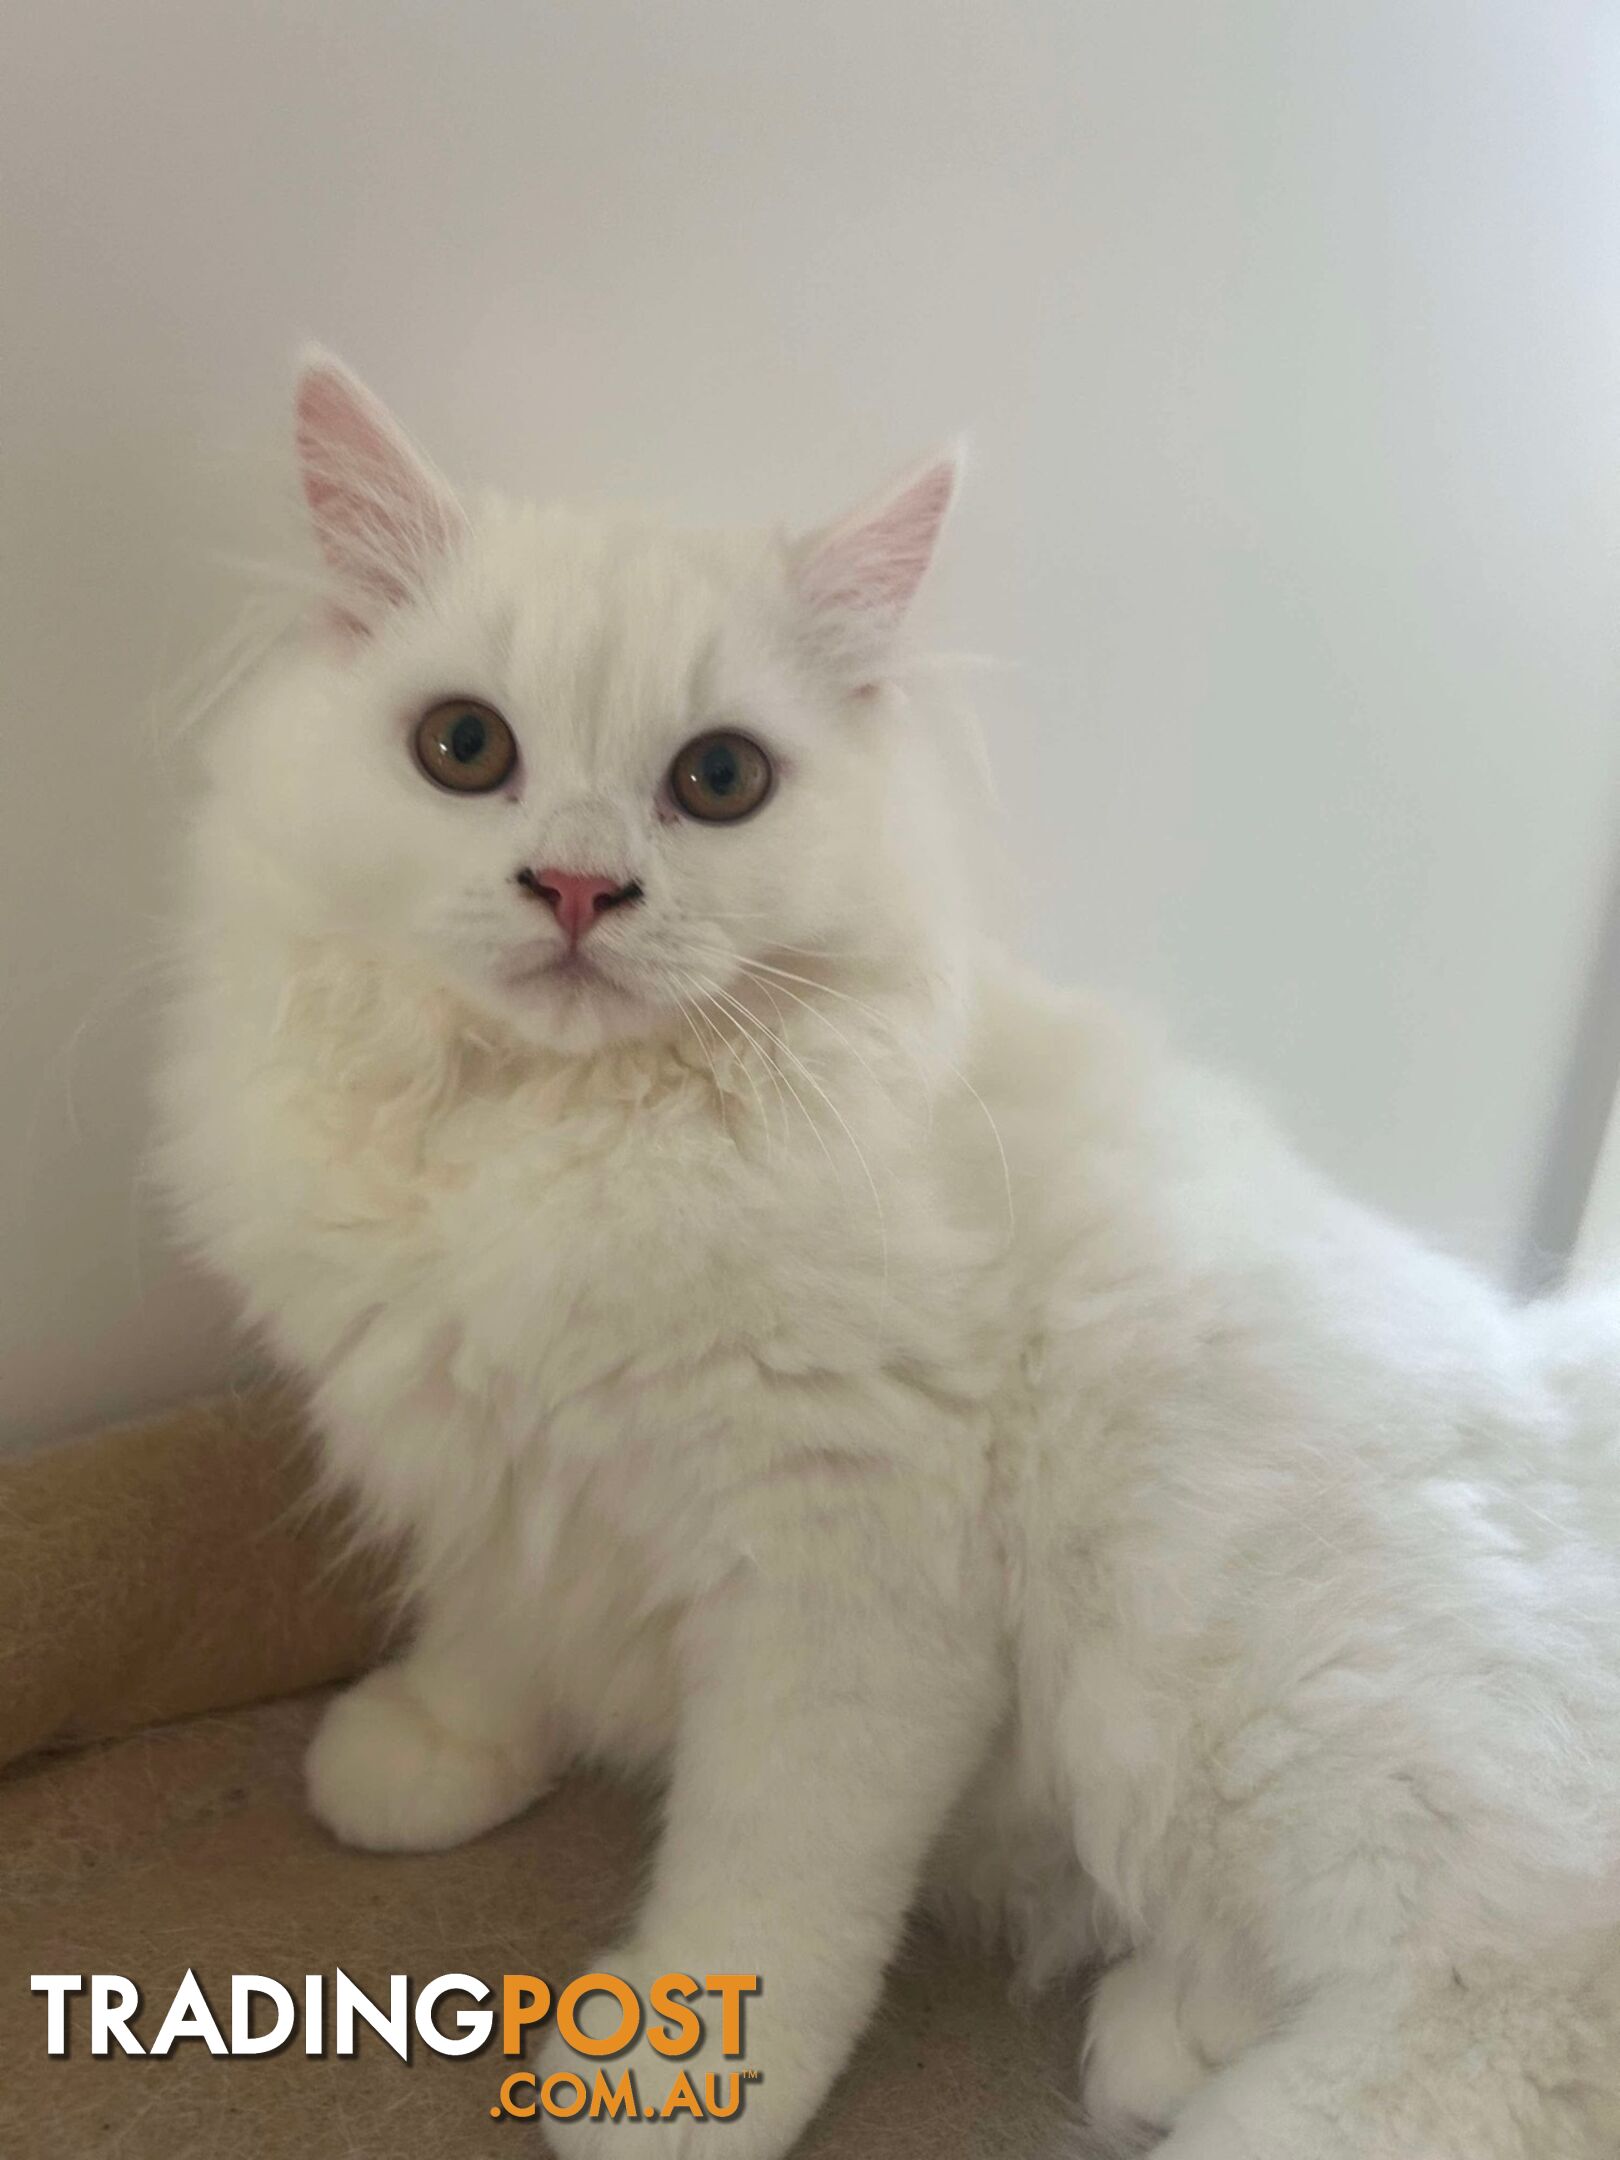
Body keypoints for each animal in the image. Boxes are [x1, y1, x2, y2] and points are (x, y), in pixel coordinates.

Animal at [158, 358, 1620, 2160]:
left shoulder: (846, 1564)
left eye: (718, 780)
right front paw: (430, 1754)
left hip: (1227, 1664)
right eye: (463, 748)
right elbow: (498, 1634)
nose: (575, 886)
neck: (558, 1140)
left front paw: (676, 2082)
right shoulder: (491, 1464)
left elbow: (771, 1883)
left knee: (1509, 1999)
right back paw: (1166, 2033)